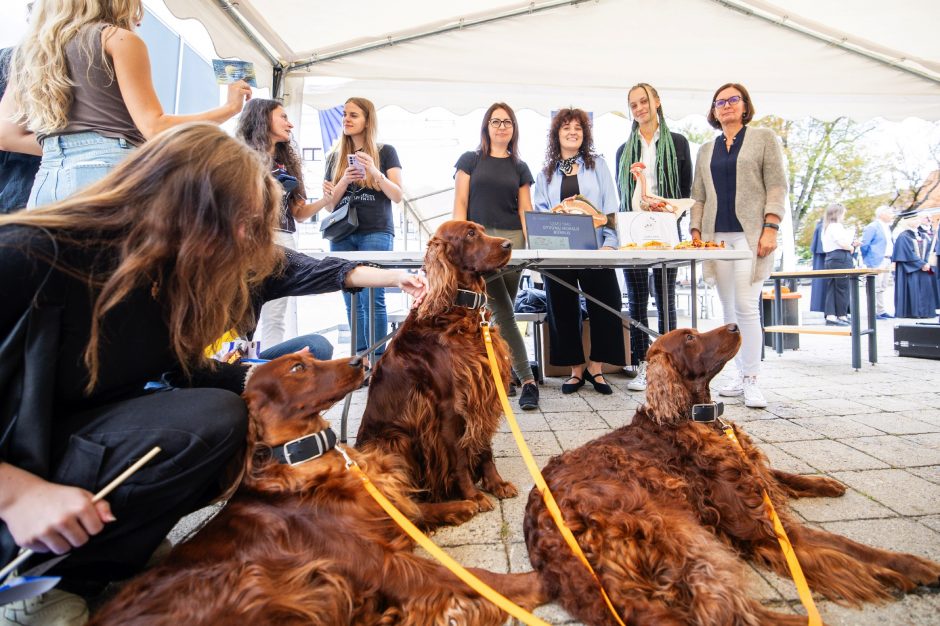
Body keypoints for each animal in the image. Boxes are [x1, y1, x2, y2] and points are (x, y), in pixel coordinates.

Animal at [92, 354, 548, 620]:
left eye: (310, 356)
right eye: (298, 368)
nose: (361, 360)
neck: (312, 462)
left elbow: (412, 508)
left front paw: (459, 506)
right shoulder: (377, 562)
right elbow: (471, 575)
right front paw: (535, 582)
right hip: (251, 585)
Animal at [358, 222, 516, 516]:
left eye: (481, 229)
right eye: (470, 234)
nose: (508, 245)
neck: (460, 310)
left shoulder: (481, 394)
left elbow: (484, 446)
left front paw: (495, 483)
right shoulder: (449, 406)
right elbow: (459, 458)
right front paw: (474, 495)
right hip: (395, 439)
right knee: (406, 504)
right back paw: (459, 506)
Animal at [524, 324, 936, 620]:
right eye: (690, 338)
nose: (737, 325)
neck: (694, 418)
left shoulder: (755, 480)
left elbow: (781, 476)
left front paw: (825, 483)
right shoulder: (761, 527)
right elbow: (847, 546)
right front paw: (910, 566)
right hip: (683, 533)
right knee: (724, 611)